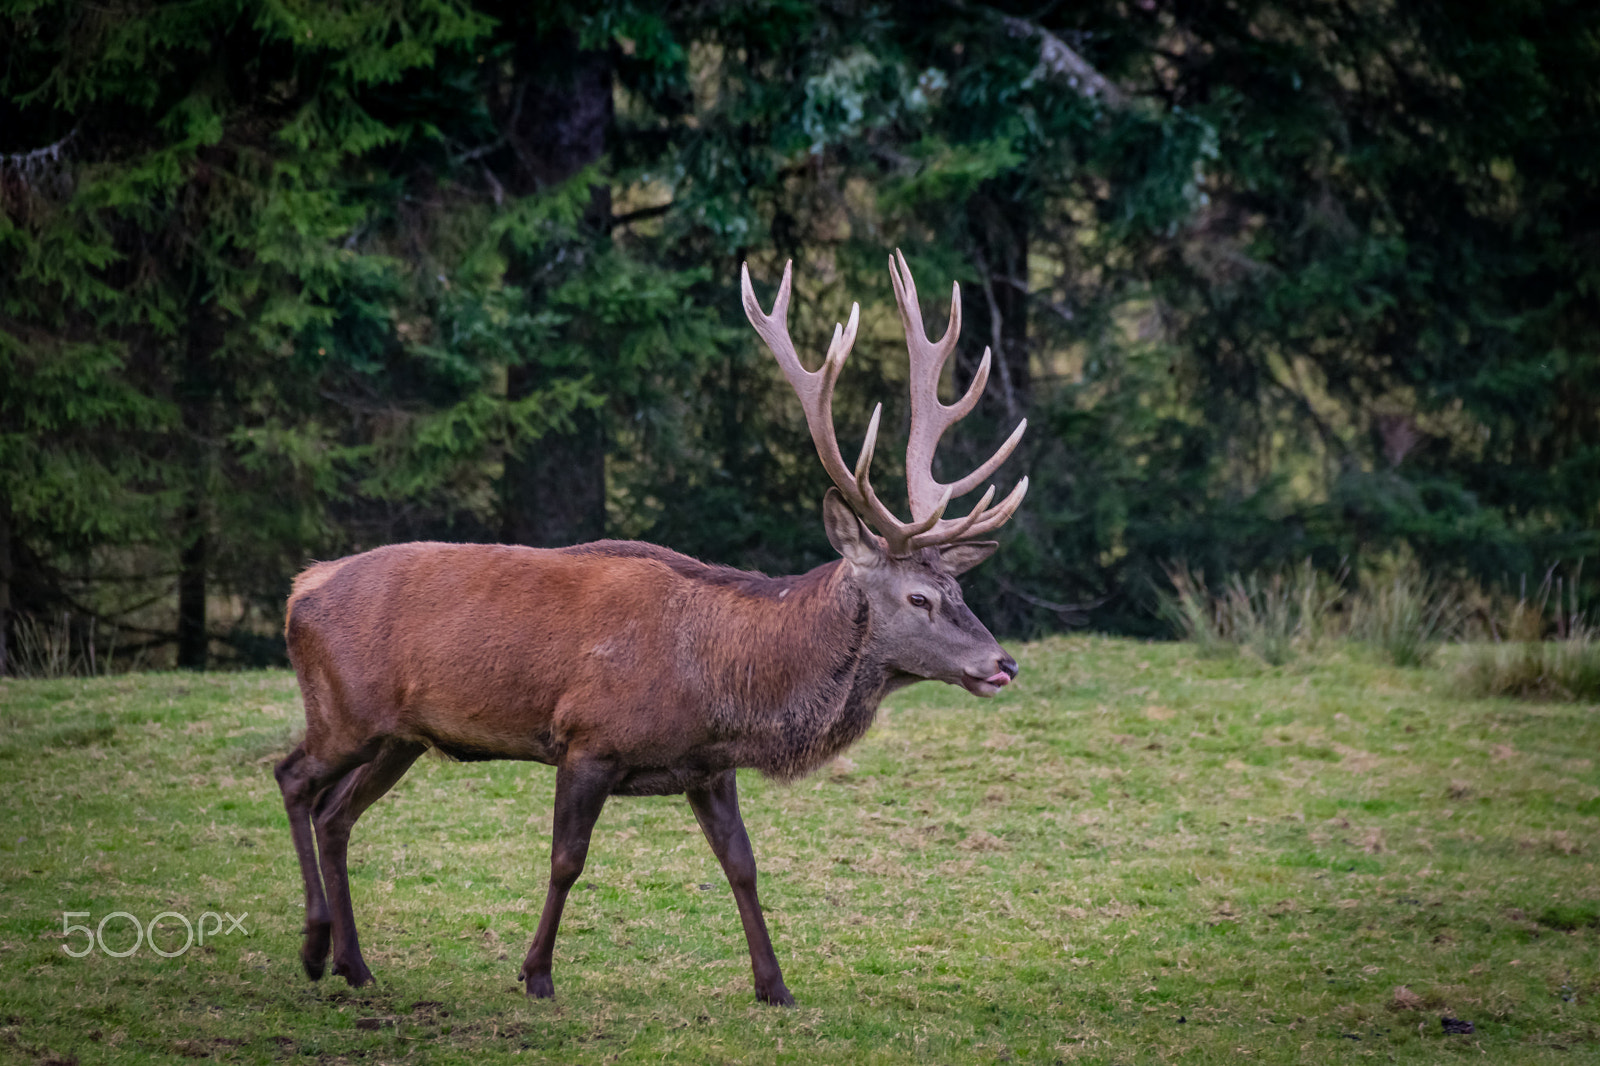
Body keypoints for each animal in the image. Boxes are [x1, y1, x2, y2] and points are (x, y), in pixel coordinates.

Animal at [273, 250, 1029, 1006]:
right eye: (919, 598)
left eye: (959, 588)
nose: (1003, 663)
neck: (729, 684)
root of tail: (299, 589)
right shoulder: (588, 739)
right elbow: (566, 860)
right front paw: (536, 973)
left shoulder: (709, 766)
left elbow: (742, 864)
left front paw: (774, 986)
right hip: (344, 711)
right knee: (293, 778)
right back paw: (312, 947)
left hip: (399, 735)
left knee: (336, 813)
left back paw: (355, 964)